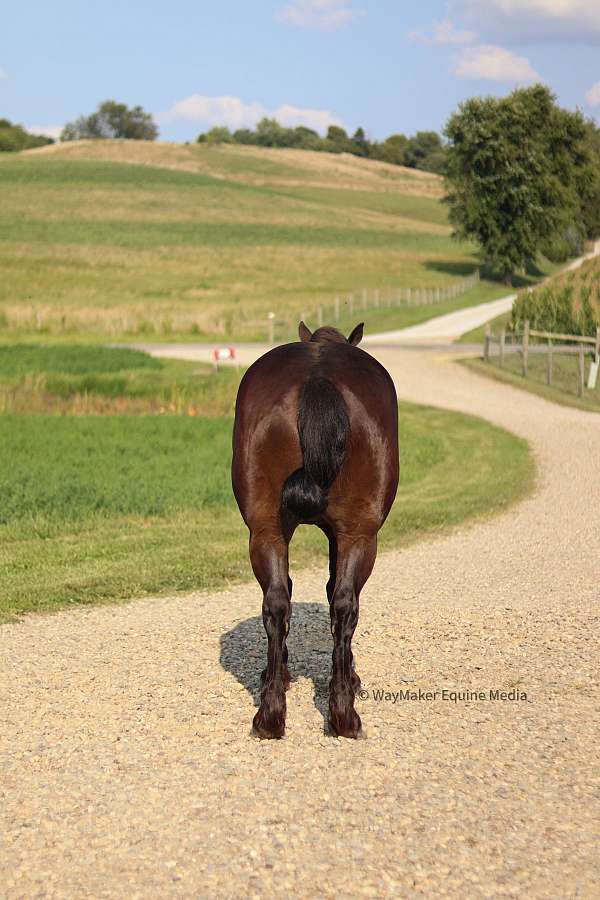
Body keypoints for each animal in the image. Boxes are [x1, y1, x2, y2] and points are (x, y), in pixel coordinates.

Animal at [231, 320, 398, 736]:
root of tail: (317, 379)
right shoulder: (347, 535)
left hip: (266, 530)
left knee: (277, 602)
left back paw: (270, 714)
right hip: (361, 535)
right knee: (345, 604)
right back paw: (344, 713)